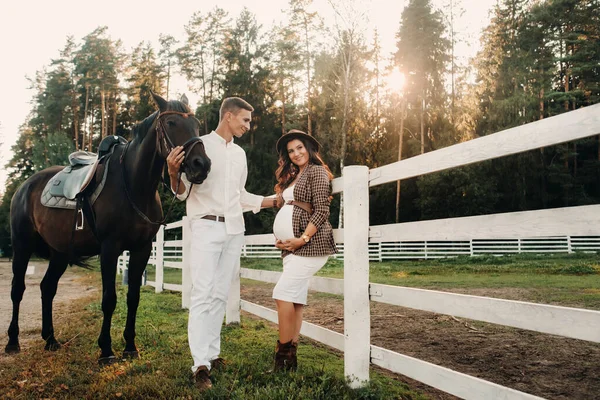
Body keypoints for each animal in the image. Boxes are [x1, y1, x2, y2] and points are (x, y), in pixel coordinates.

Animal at [4, 92, 210, 364]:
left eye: (196, 124)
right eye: (171, 123)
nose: (202, 164)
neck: (132, 185)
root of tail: (24, 187)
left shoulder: (142, 249)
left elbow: (133, 297)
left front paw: (130, 346)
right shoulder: (110, 249)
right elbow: (109, 299)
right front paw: (106, 350)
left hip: (59, 253)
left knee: (47, 288)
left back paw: (50, 339)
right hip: (22, 246)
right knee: (17, 290)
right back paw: (13, 342)